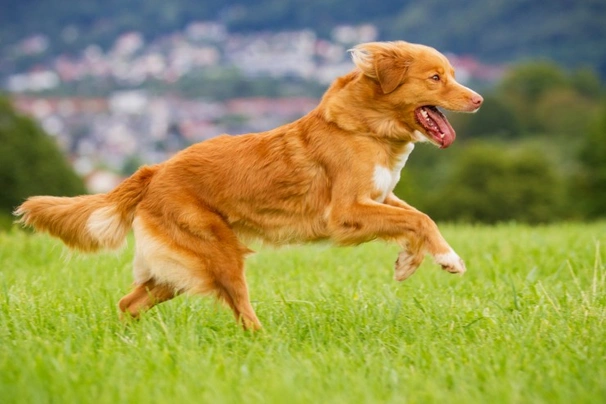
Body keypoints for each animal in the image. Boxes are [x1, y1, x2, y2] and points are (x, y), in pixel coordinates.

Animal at [15, 41, 484, 332]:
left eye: (451, 74)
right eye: (435, 78)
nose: (479, 99)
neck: (368, 126)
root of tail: (155, 170)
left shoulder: (380, 196)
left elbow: (416, 216)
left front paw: (409, 262)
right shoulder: (346, 211)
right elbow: (419, 219)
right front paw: (449, 259)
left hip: (180, 268)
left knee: (128, 303)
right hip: (219, 254)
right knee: (240, 309)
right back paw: (265, 342)